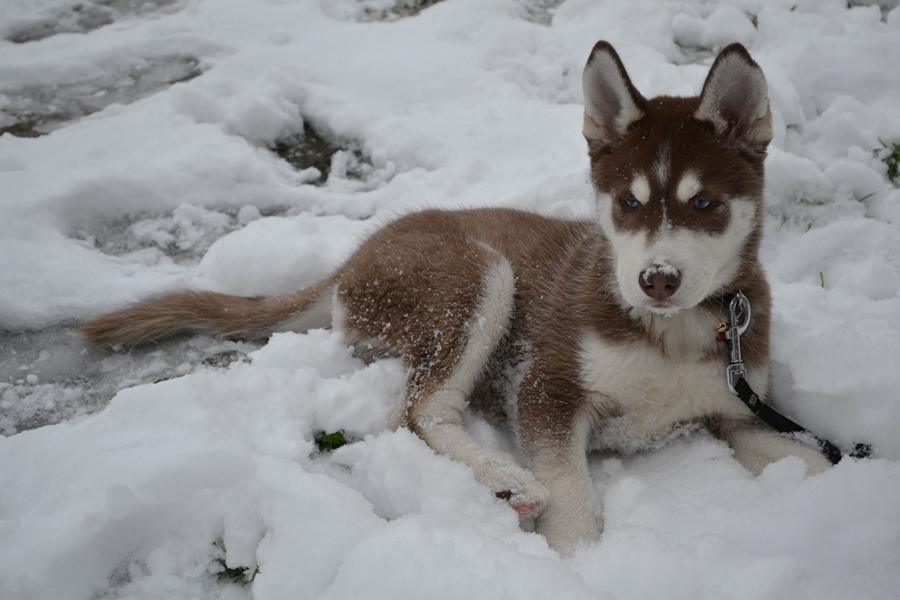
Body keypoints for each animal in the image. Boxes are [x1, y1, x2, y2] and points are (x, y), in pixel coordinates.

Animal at [81, 43, 832, 552]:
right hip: (475, 274)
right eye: (627, 203)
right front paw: (580, 558)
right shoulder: (547, 391)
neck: (667, 333)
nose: (657, 279)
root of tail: (354, 257)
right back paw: (504, 479)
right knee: (418, 411)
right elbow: (575, 501)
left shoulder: (732, 409)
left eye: (704, 204)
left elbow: (812, 459)